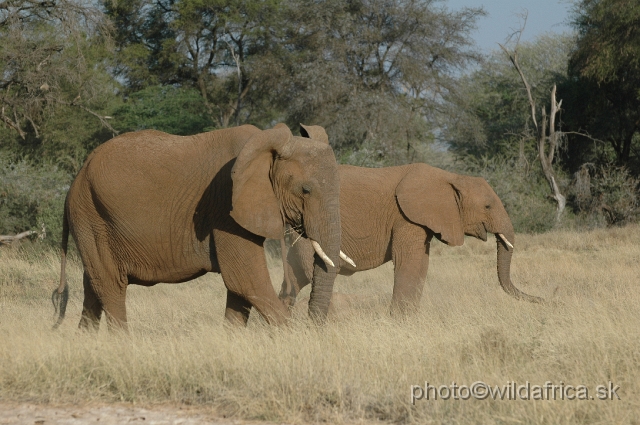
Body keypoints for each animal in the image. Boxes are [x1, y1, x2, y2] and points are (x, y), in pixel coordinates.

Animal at [52, 122, 348, 332]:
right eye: (305, 190)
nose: (314, 326)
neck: (266, 145)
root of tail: (76, 178)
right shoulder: (225, 207)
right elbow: (247, 280)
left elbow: (239, 290)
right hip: (91, 215)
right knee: (110, 284)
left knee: (93, 287)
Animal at [278, 124, 544, 314]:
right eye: (487, 206)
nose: (542, 299)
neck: (450, 176)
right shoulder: (406, 217)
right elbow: (411, 262)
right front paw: (401, 320)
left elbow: (421, 263)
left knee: (294, 278)